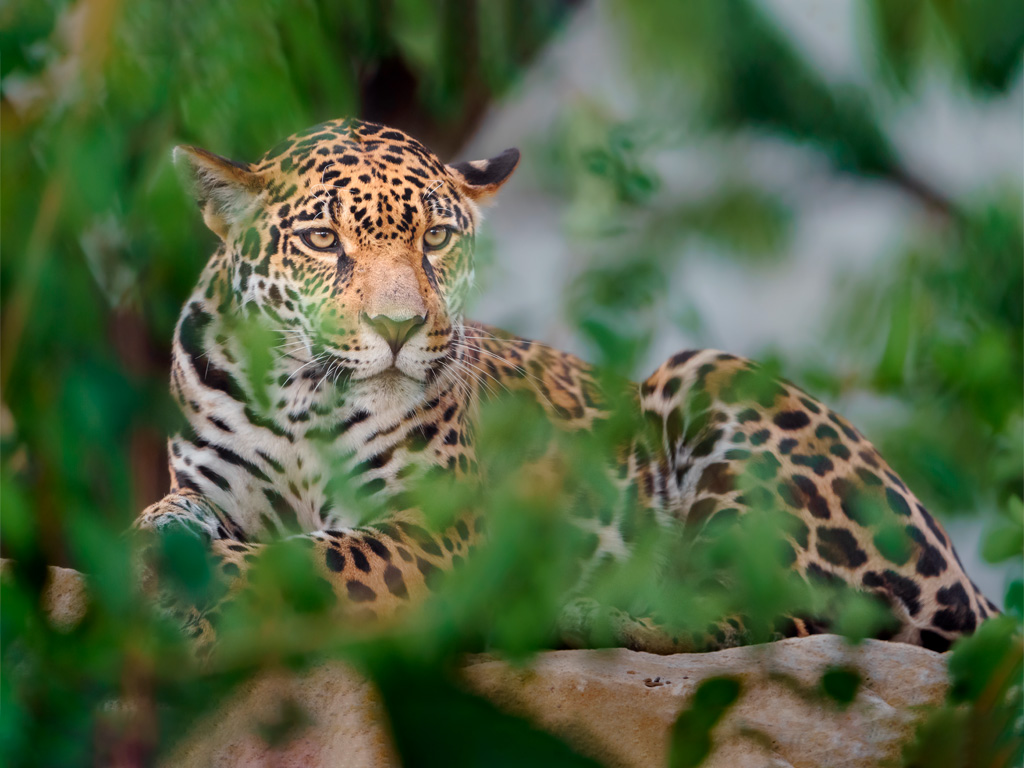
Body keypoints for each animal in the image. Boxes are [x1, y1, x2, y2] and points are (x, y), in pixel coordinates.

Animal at [136, 117, 998, 658]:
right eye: (322, 240)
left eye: (436, 238)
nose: (398, 329)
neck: (302, 398)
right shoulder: (214, 485)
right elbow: (173, 518)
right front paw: (161, 550)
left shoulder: (429, 531)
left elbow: (304, 562)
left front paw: (190, 595)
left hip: (710, 378)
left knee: (791, 615)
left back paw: (590, 615)